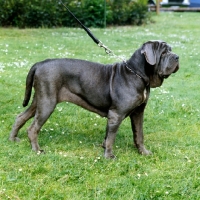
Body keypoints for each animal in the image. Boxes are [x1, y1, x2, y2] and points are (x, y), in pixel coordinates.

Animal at [9, 40, 180, 159]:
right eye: (164, 53)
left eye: (171, 50)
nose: (177, 56)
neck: (137, 74)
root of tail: (39, 64)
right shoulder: (116, 114)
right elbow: (111, 138)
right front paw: (109, 156)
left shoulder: (138, 113)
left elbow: (138, 135)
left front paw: (143, 152)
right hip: (47, 103)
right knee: (33, 128)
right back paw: (37, 150)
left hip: (39, 100)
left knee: (20, 117)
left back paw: (13, 139)